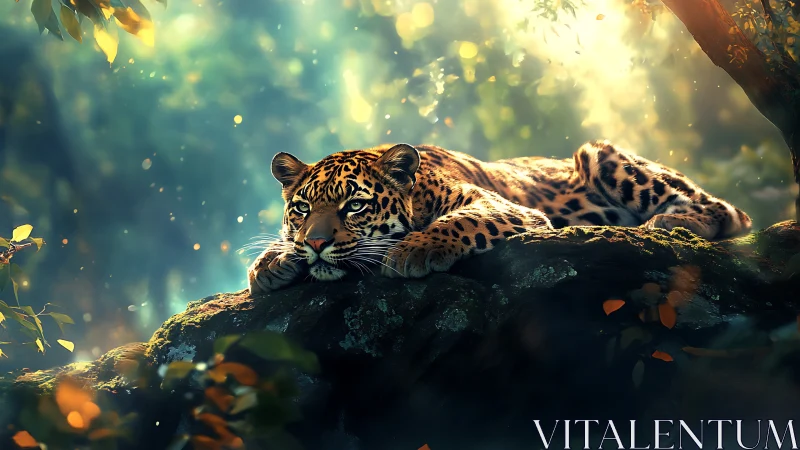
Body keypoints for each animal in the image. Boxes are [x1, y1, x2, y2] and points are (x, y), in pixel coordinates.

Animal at [247, 140, 752, 294]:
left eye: (355, 205)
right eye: (302, 209)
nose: (316, 244)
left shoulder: (504, 207)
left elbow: (459, 222)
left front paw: (413, 251)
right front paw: (269, 263)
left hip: (597, 153)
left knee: (723, 211)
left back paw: (672, 224)